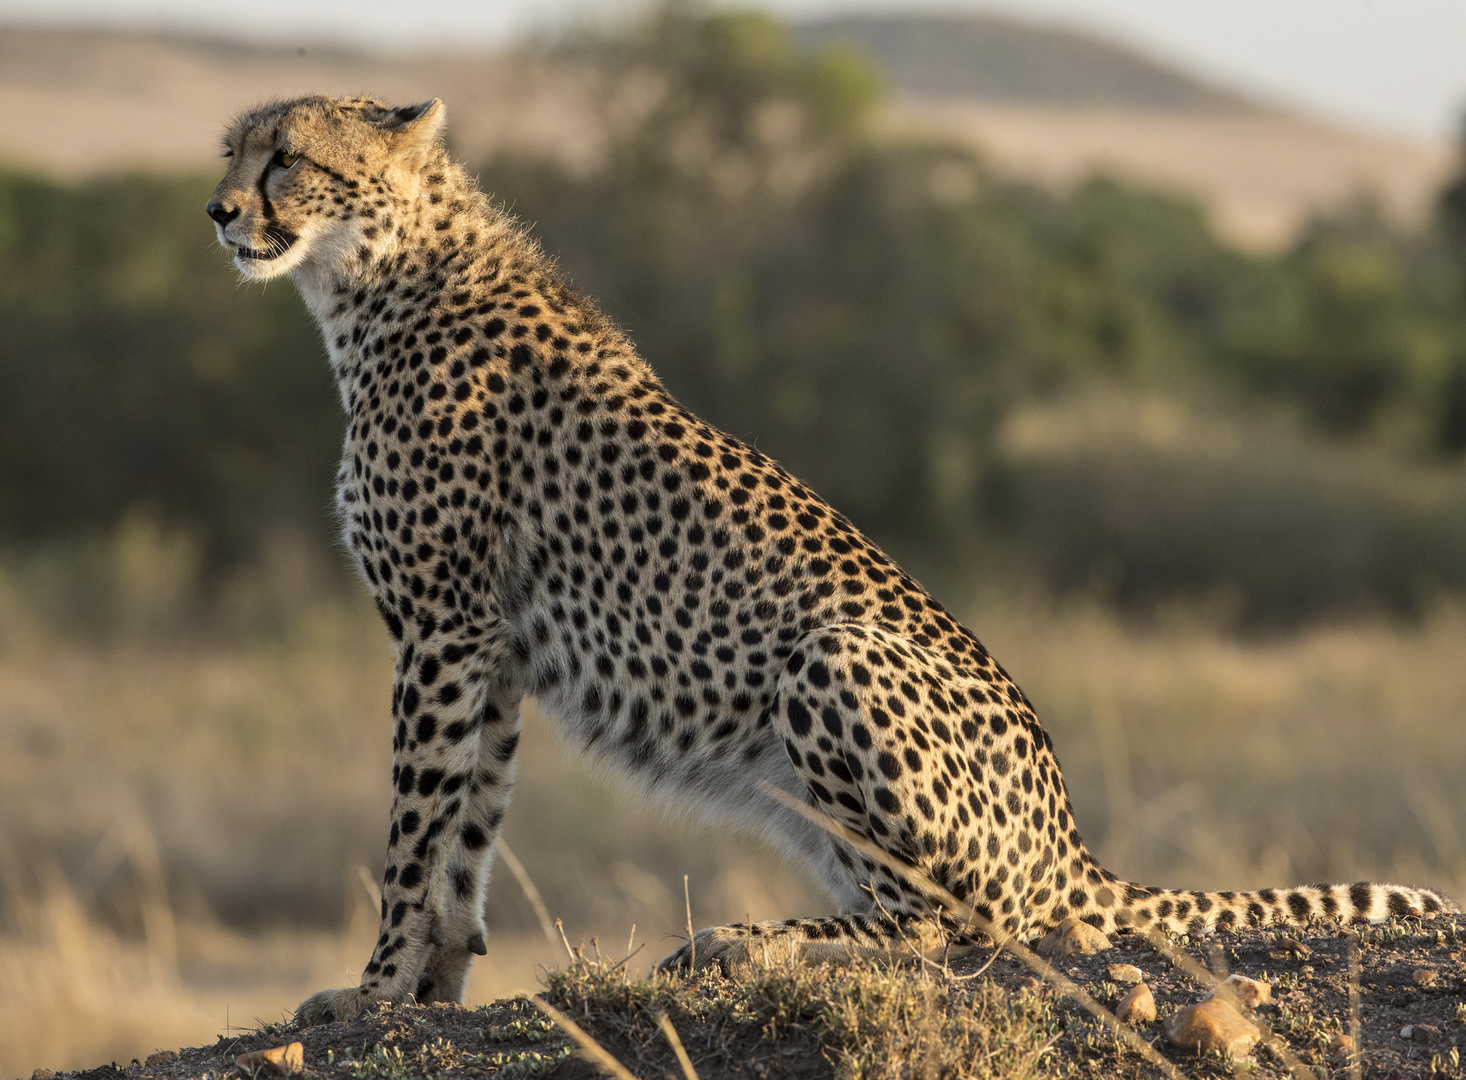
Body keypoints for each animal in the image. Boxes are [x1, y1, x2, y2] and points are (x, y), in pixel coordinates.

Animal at [203, 96, 1454, 1025]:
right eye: (231, 152)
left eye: (288, 159)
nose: (216, 212)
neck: (378, 279)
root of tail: (1074, 847)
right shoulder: (491, 645)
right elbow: (467, 834)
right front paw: (432, 991)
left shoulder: (441, 627)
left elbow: (413, 829)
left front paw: (371, 994)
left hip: (832, 652)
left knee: (966, 927)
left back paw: (752, 939)